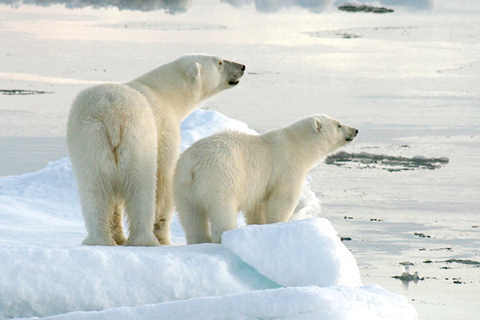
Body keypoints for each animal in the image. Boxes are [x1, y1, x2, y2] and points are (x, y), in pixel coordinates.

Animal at [66, 53, 244, 246]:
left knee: (94, 187)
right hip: (137, 136)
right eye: (220, 62)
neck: (164, 94)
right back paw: (145, 239)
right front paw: (163, 238)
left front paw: (119, 237)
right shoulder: (164, 130)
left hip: (89, 140)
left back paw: (99, 240)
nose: (242, 66)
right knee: (141, 185)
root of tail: (111, 113)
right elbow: (164, 178)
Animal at [174, 114, 358, 244]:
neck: (297, 145)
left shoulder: (260, 183)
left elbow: (257, 206)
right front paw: (277, 225)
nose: (355, 130)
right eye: (339, 125)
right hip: (220, 177)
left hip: (183, 188)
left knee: (191, 217)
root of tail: (192, 165)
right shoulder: (287, 166)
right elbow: (283, 198)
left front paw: (258, 227)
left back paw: (198, 241)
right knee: (222, 210)